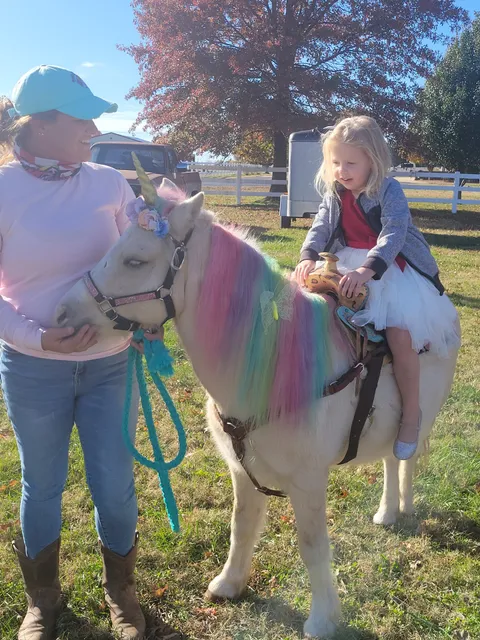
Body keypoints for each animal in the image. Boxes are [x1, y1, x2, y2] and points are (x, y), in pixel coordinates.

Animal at [55, 181, 459, 638]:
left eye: (135, 260)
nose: (62, 313)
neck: (279, 363)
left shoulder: (308, 481)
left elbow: (313, 546)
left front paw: (322, 619)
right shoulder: (241, 471)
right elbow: (241, 527)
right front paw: (229, 584)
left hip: (419, 415)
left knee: (404, 454)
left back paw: (400, 506)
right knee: (392, 460)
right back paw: (389, 511)